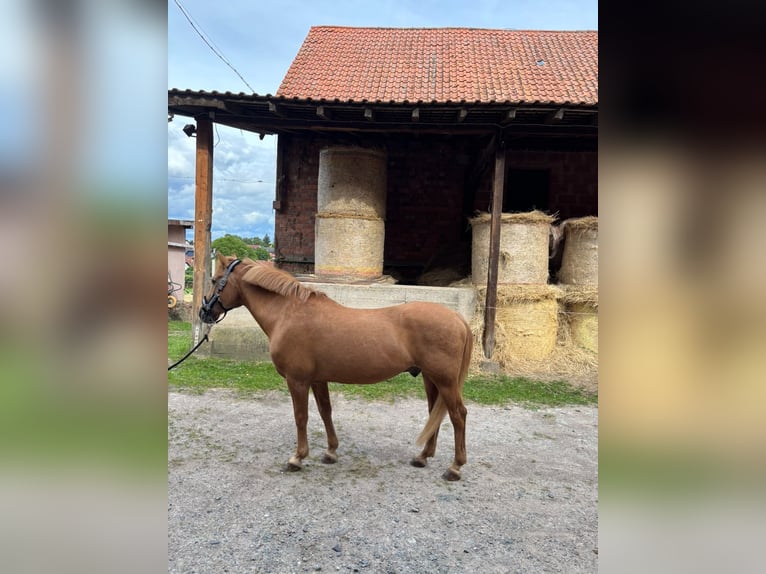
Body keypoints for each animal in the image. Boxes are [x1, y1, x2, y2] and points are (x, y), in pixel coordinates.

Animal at [199, 252, 473, 481]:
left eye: (214, 280)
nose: (204, 313)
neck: (288, 313)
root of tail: (457, 317)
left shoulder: (297, 380)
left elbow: (301, 417)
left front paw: (297, 458)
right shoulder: (318, 379)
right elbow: (325, 412)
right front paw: (330, 452)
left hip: (445, 381)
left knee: (458, 415)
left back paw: (455, 468)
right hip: (430, 379)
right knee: (436, 414)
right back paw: (423, 457)